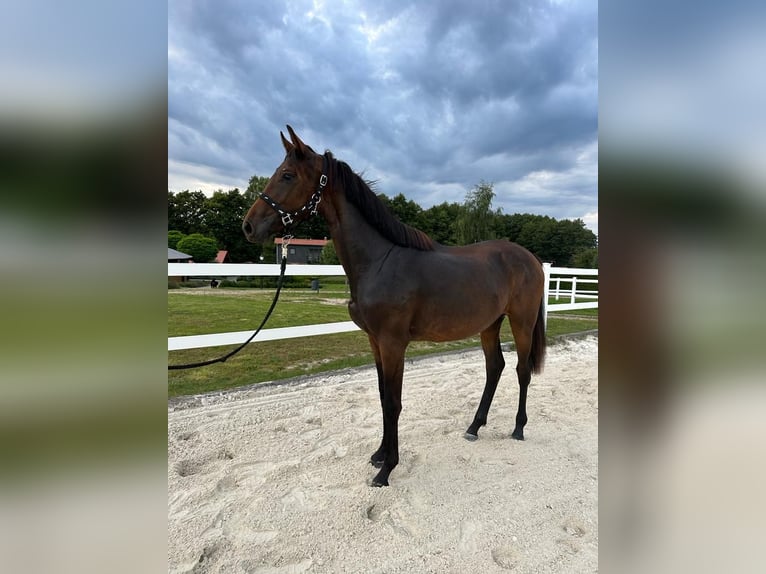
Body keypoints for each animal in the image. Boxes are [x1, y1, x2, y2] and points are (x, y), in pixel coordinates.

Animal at [243, 126, 548, 486]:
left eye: (287, 175)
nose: (249, 226)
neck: (378, 261)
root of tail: (531, 259)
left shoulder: (393, 344)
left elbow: (393, 403)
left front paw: (386, 469)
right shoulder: (375, 341)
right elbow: (381, 396)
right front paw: (379, 455)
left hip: (521, 322)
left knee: (521, 370)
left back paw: (518, 428)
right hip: (489, 324)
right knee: (494, 367)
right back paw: (474, 427)